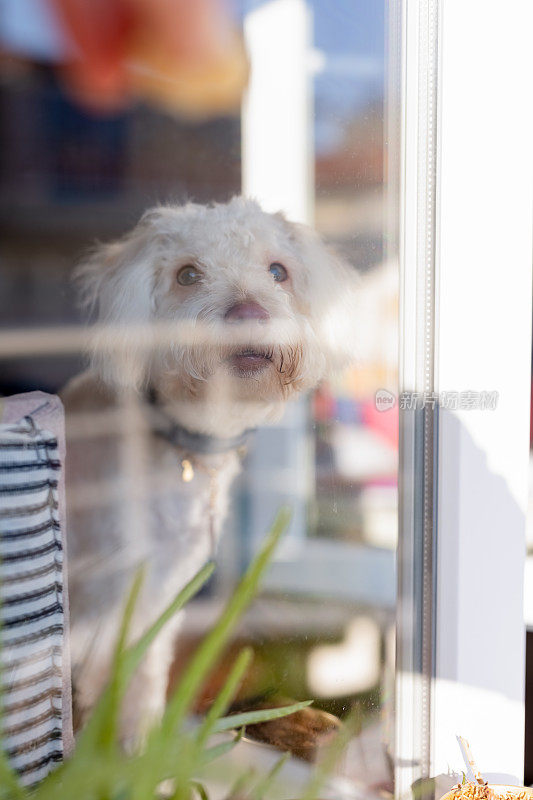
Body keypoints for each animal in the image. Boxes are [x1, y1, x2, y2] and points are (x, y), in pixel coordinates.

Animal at [62, 197, 358, 740]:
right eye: (187, 275)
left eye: (278, 271)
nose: (249, 314)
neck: (185, 444)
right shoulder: (109, 601)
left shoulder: (159, 595)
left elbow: (145, 680)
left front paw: (142, 748)